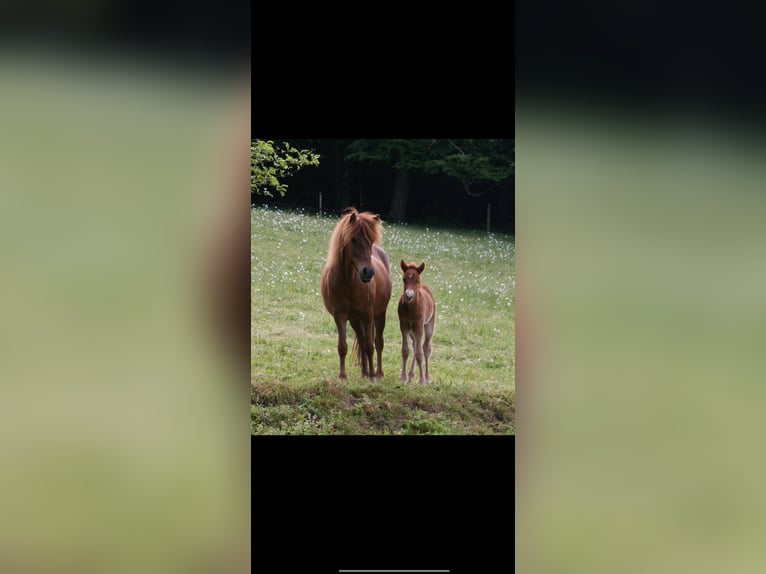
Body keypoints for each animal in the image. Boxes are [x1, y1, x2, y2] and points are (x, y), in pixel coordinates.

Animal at [320, 207, 392, 381]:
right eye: (353, 240)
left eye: (371, 241)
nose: (368, 272)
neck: (348, 281)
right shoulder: (340, 316)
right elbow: (343, 346)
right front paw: (342, 376)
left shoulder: (367, 314)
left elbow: (370, 346)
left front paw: (373, 377)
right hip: (354, 319)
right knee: (361, 338)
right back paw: (364, 372)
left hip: (379, 315)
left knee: (377, 342)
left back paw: (378, 373)